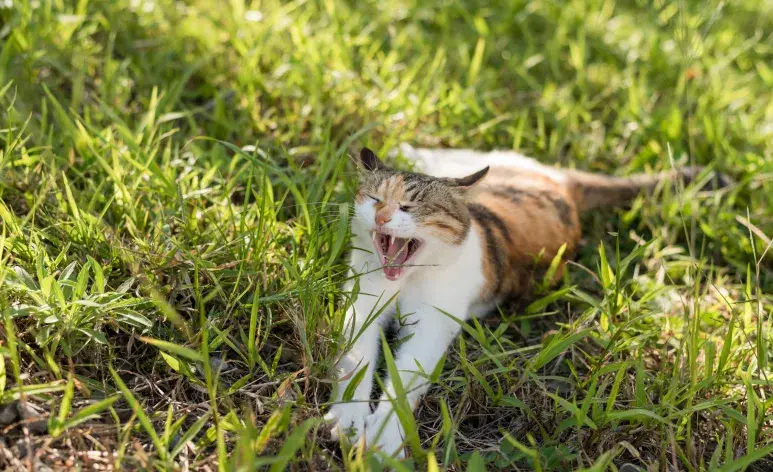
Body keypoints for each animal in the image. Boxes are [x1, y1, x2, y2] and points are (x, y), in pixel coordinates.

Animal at [322, 146, 724, 460]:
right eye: (376, 200)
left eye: (409, 206)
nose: (382, 217)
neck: (406, 279)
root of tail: (565, 184)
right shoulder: (362, 307)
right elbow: (354, 362)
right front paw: (347, 418)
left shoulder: (432, 326)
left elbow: (405, 380)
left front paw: (384, 433)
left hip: (493, 163)